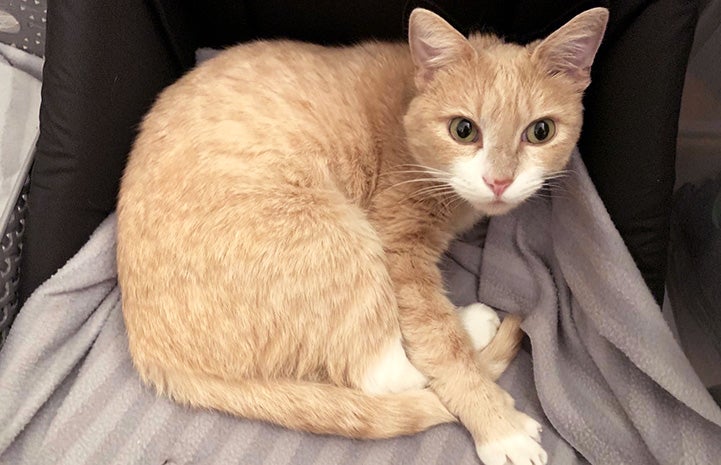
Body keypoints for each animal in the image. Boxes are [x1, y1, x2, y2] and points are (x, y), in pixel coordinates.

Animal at [116, 7, 608, 464]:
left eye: (540, 131)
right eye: (463, 130)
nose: (499, 181)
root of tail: (150, 351)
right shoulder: (398, 246)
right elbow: (440, 345)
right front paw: (497, 424)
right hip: (334, 238)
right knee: (381, 371)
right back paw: (473, 332)